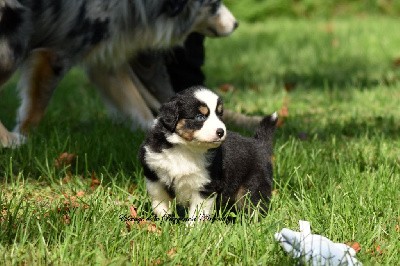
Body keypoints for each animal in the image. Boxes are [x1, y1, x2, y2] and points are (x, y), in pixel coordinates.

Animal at [141, 86, 278, 221]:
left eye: (219, 115)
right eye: (200, 117)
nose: (221, 132)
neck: (186, 148)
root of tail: (259, 143)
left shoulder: (205, 186)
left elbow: (198, 212)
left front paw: (192, 227)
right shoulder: (153, 173)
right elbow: (159, 198)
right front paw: (163, 218)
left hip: (254, 185)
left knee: (254, 205)